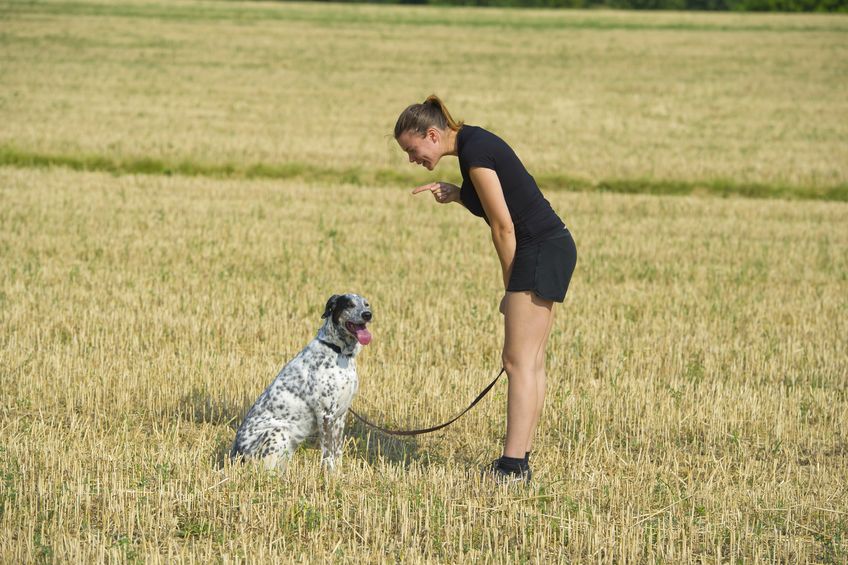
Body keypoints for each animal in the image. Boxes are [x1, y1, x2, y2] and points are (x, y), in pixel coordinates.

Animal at [229, 294, 372, 470]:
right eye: (349, 305)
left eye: (366, 304)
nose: (367, 315)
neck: (338, 351)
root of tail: (235, 457)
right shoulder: (326, 415)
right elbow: (328, 453)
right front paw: (328, 473)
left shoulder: (340, 415)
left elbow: (337, 450)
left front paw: (338, 472)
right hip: (278, 431)